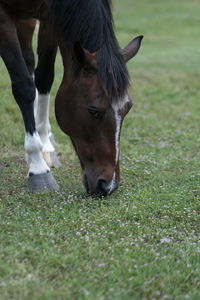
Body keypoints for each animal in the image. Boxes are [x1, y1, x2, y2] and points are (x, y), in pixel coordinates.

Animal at [0, 0, 143, 197]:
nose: (108, 186)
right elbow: (24, 86)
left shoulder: (50, 17)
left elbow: (44, 76)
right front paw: (38, 168)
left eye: (127, 108)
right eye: (93, 111)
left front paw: (43, 144)